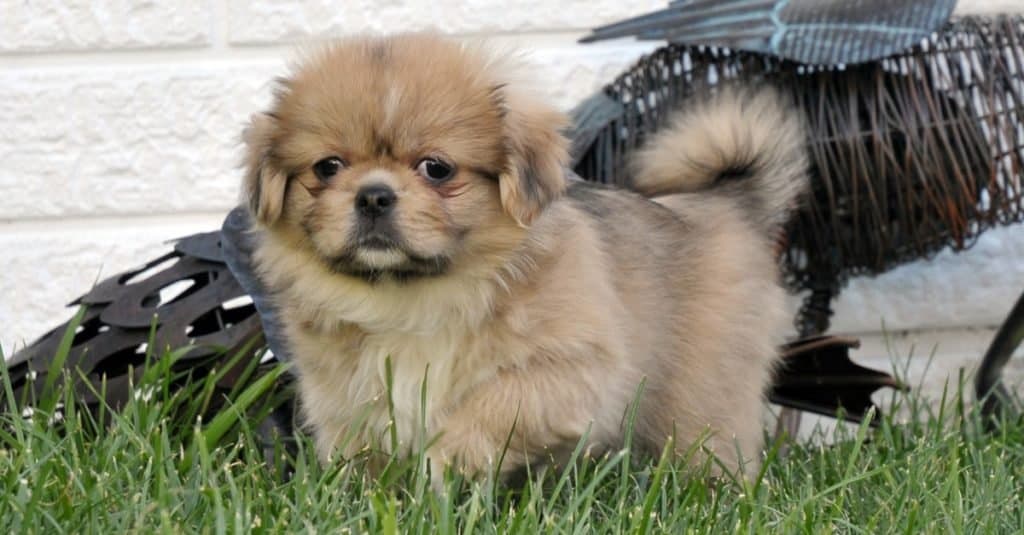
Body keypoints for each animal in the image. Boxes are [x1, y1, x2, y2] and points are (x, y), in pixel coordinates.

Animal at [239, 33, 806, 483]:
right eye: (328, 167)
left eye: (437, 168)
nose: (373, 196)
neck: (412, 296)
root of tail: (730, 201)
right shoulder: (344, 396)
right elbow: (361, 452)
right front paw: (366, 495)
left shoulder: (570, 369)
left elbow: (492, 406)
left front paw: (445, 462)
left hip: (702, 398)